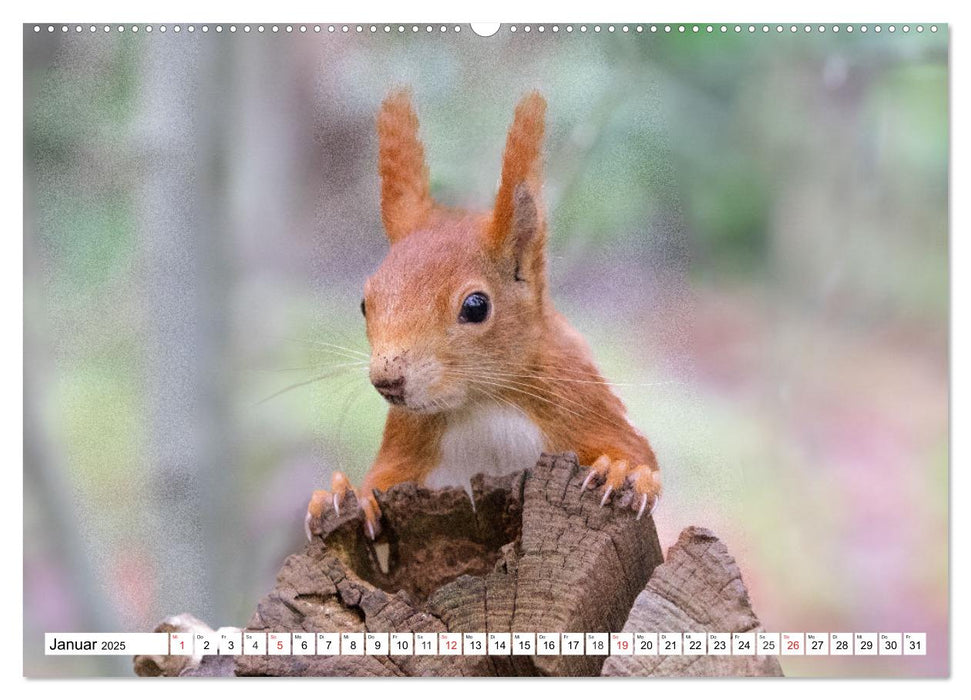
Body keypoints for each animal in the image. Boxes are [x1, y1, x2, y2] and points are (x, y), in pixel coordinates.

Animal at [308, 90, 664, 540]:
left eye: (476, 307)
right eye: (363, 303)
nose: (387, 380)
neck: (482, 402)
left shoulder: (577, 396)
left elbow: (637, 452)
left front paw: (621, 471)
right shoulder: (409, 440)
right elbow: (382, 477)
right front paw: (348, 494)